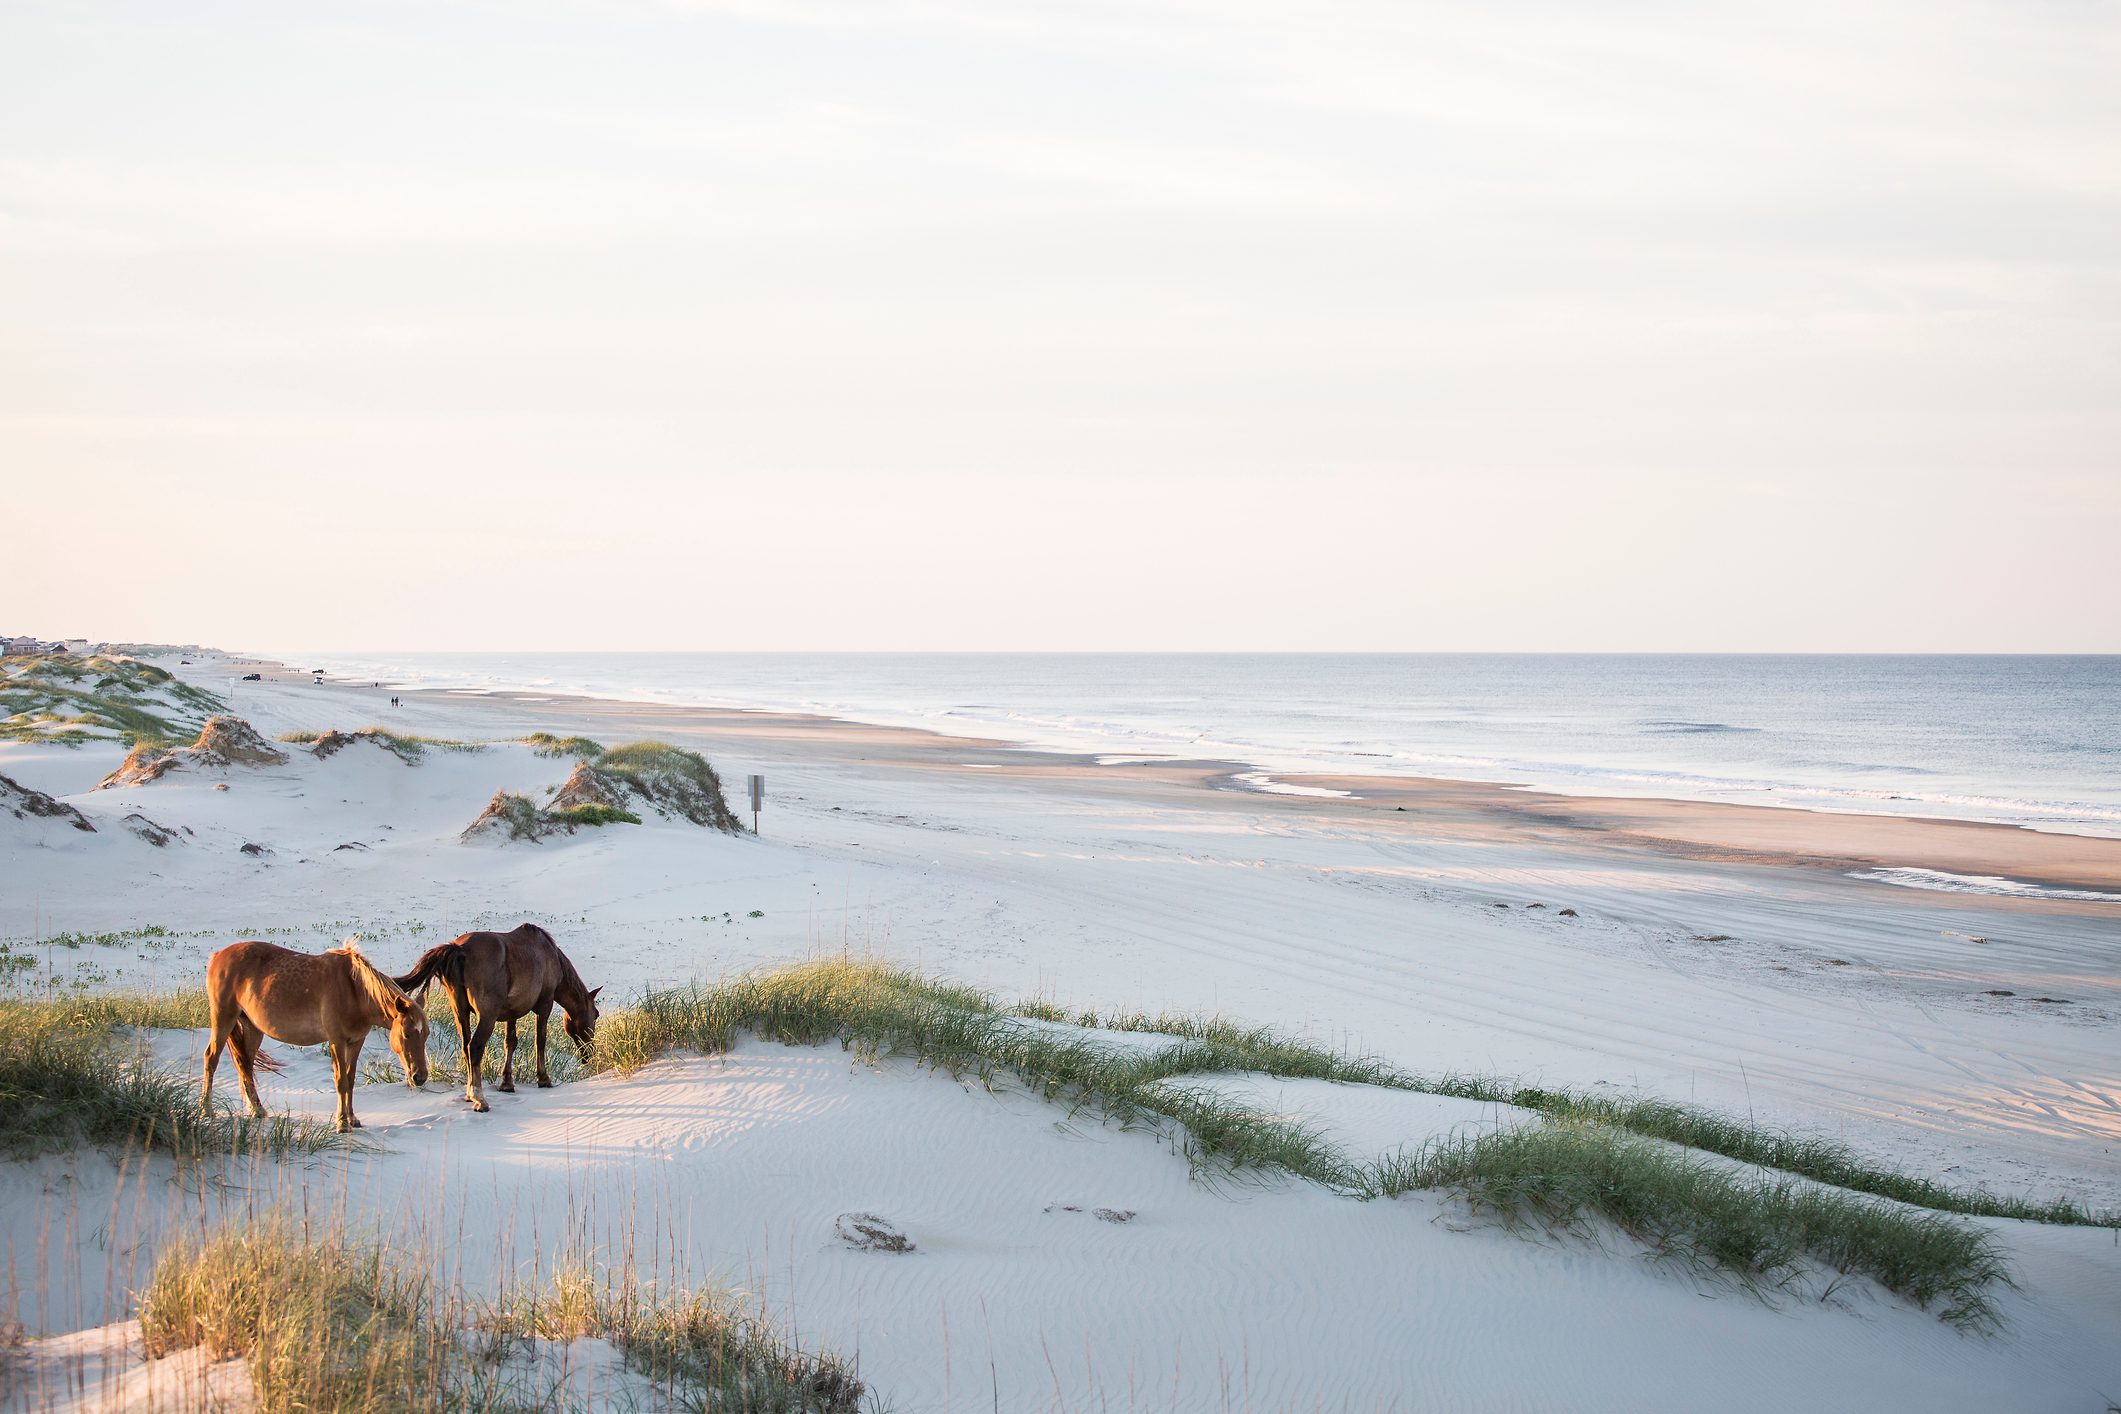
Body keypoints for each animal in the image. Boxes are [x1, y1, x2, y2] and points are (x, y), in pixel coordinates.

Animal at [202, 945, 430, 1136]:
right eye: (406, 1033)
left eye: (426, 1034)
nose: (419, 1077)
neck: (354, 990)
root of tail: (218, 955)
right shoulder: (337, 1041)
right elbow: (341, 1081)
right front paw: (342, 1123)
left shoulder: (356, 1041)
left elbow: (350, 1079)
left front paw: (353, 1119)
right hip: (223, 1018)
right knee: (211, 1059)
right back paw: (207, 1110)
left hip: (252, 1027)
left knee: (245, 1065)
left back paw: (258, 1110)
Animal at [396, 928, 606, 1119]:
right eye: (595, 1015)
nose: (588, 1055)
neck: (551, 956)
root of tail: (459, 949)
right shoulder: (545, 1004)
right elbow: (540, 1041)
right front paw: (544, 1079)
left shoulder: (511, 1012)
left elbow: (510, 1043)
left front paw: (507, 1083)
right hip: (487, 1015)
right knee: (475, 1047)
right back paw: (479, 1100)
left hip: (460, 1012)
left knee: (465, 1046)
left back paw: (469, 1095)